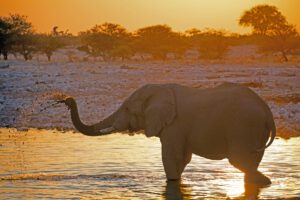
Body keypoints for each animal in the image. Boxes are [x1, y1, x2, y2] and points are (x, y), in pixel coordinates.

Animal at [59, 82, 276, 186]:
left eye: (127, 108)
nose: (68, 100)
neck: (161, 89)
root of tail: (267, 110)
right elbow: (183, 158)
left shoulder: (175, 125)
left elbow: (173, 157)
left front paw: (172, 183)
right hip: (254, 128)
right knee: (250, 161)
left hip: (244, 125)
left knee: (239, 161)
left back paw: (264, 181)